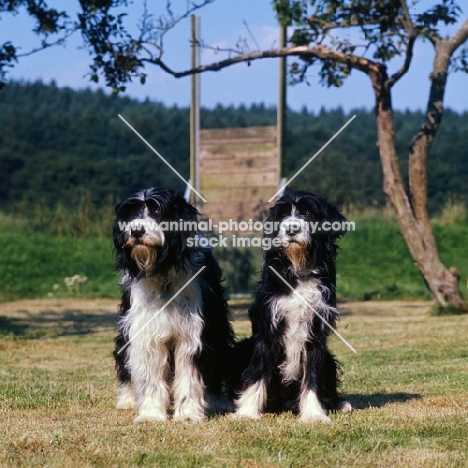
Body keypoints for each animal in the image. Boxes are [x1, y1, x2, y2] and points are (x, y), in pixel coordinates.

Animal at [112, 187, 236, 424]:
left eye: (156, 210)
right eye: (131, 213)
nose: (136, 231)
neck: (163, 273)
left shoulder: (193, 334)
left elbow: (189, 375)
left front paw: (187, 414)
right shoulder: (146, 332)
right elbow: (149, 376)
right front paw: (151, 414)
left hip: (217, 328)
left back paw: (215, 400)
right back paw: (128, 399)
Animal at [234, 189, 352, 420]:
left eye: (308, 212)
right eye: (284, 214)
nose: (291, 229)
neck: (300, 271)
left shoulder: (316, 334)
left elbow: (313, 376)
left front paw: (314, 414)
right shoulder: (267, 329)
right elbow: (257, 372)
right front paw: (247, 412)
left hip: (328, 359)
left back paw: (338, 403)